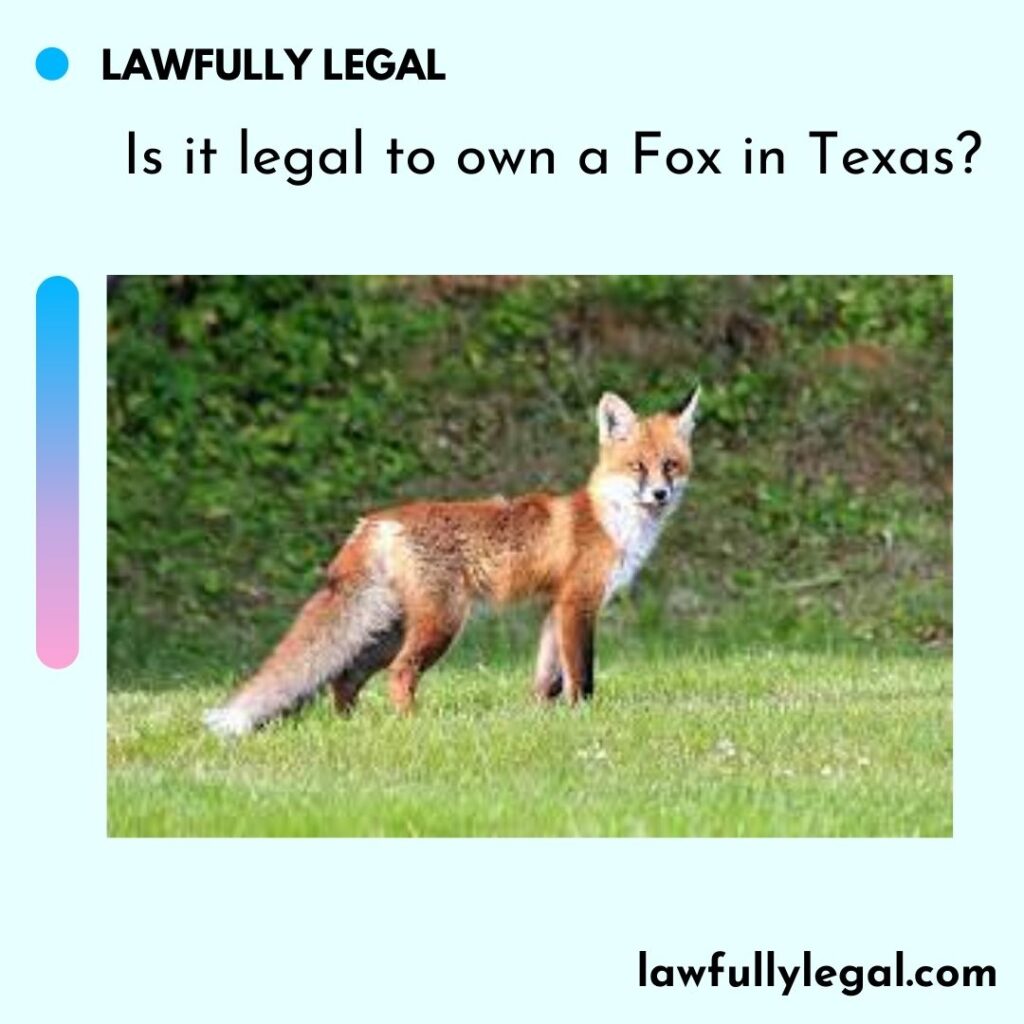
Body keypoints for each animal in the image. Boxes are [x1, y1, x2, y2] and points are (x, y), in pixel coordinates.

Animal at [203, 387, 699, 736]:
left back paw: (352, 728)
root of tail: (377, 520)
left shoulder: (552, 608)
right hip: (440, 623)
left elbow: (547, 680)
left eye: (671, 465)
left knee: (343, 677)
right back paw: (411, 726)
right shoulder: (578, 603)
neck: (609, 518)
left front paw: (542, 718)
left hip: (390, 630)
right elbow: (582, 675)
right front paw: (583, 718)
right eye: (637, 467)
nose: (661, 494)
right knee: (399, 674)